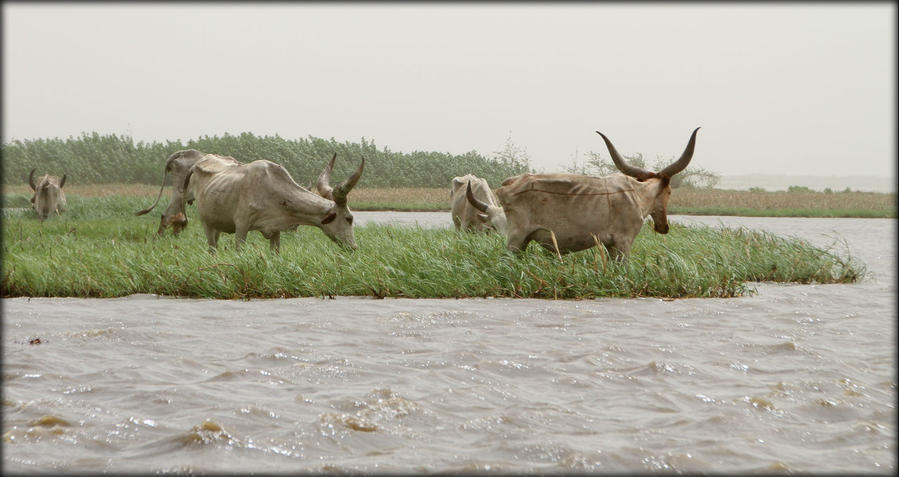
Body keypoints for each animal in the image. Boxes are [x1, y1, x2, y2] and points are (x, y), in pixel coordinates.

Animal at [181, 152, 364, 253]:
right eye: (349, 218)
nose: (354, 247)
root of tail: (197, 165)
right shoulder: (241, 226)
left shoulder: (275, 230)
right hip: (206, 222)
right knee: (212, 248)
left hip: (217, 224)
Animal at [496, 126, 700, 258]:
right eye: (669, 192)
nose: (663, 227)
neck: (638, 194)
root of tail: (509, 183)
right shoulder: (623, 243)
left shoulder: (610, 245)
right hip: (516, 240)